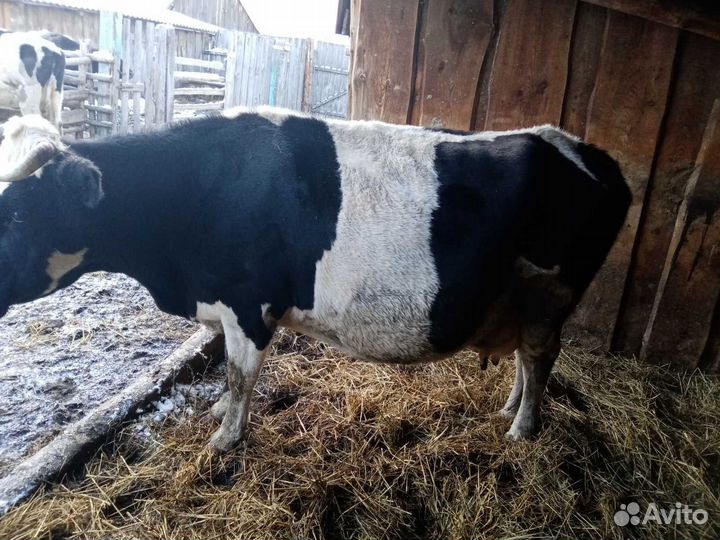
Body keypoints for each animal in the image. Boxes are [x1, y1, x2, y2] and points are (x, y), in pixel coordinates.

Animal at [0, 108, 631, 452]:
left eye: (16, 213)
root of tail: (592, 152)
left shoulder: (250, 301)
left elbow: (240, 375)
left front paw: (224, 439)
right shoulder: (224, 304)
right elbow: (230, 371)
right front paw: (218, 416)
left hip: (549, 293)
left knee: (540, 359)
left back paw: (521, 430)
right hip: (525, 300)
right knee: (527, 358)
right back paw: (508, 411)